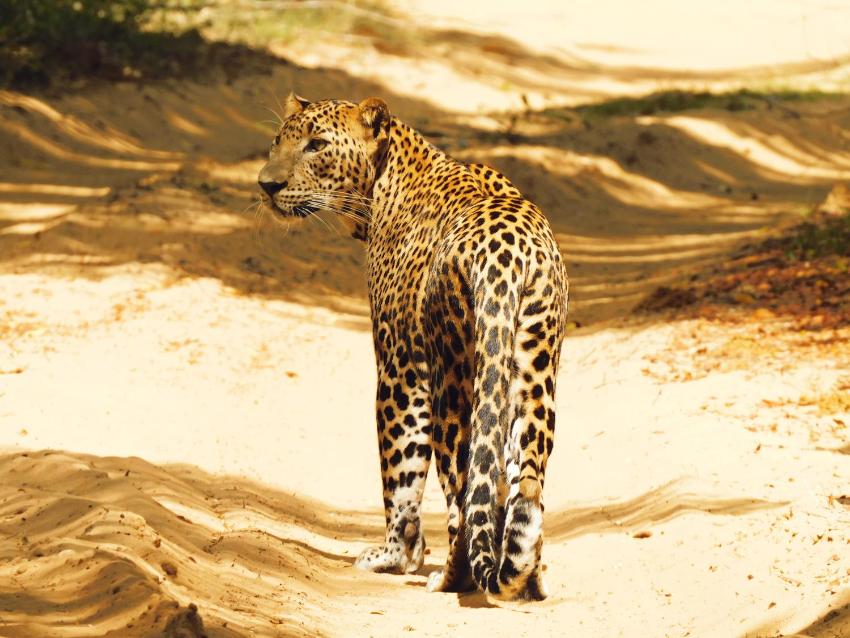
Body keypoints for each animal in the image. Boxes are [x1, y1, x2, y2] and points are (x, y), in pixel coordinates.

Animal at [257, 94, 568, 601]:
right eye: (276, 141)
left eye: (315, 145)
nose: (267, 184)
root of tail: (508, 254)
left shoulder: (399, 367)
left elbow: (399, 468)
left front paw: (397, 555)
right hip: (533, 371)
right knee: (526, 479)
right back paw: (529, 576)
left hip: (452, 381)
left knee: (460, 485)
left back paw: (451, 577)